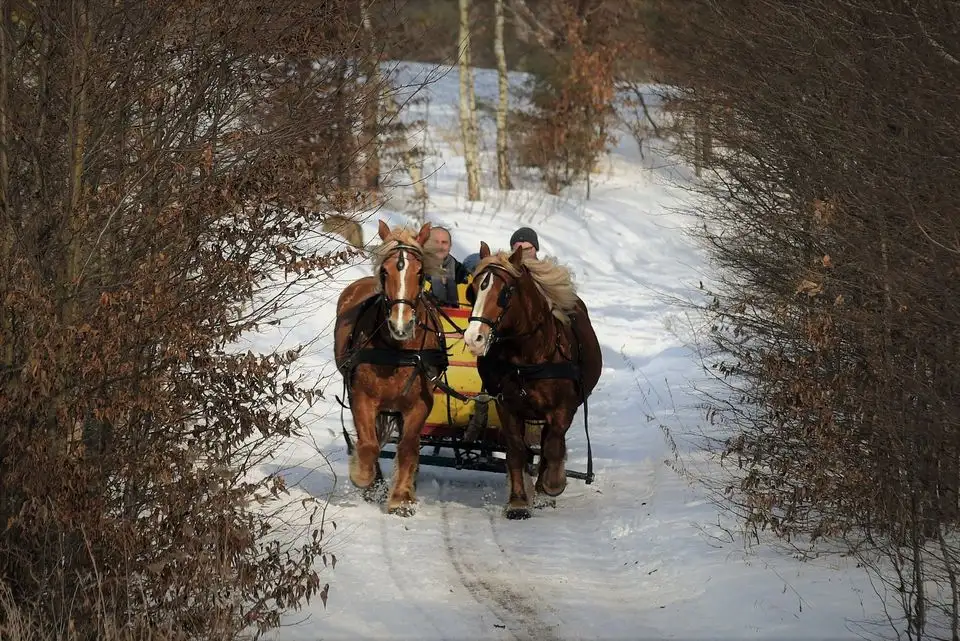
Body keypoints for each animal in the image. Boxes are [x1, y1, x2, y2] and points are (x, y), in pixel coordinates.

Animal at [332, 220, 448, 516]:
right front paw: (363, 478)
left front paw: (402, 498)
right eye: (385, 271)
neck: (398, 353)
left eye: (420, 273)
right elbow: (368, 444)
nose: (400, 325)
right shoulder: (361, 397)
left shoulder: (420, 403)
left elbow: (407, 447)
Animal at [464, 242, 600, 516]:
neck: (526, 358)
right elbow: (516, 450)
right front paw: (517, 501)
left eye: (505, 293)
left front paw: (552, 485)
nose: (473, 339)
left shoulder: (562, 409)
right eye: (472, 291)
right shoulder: (506, 406)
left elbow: (552, 447)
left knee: (549, 445)